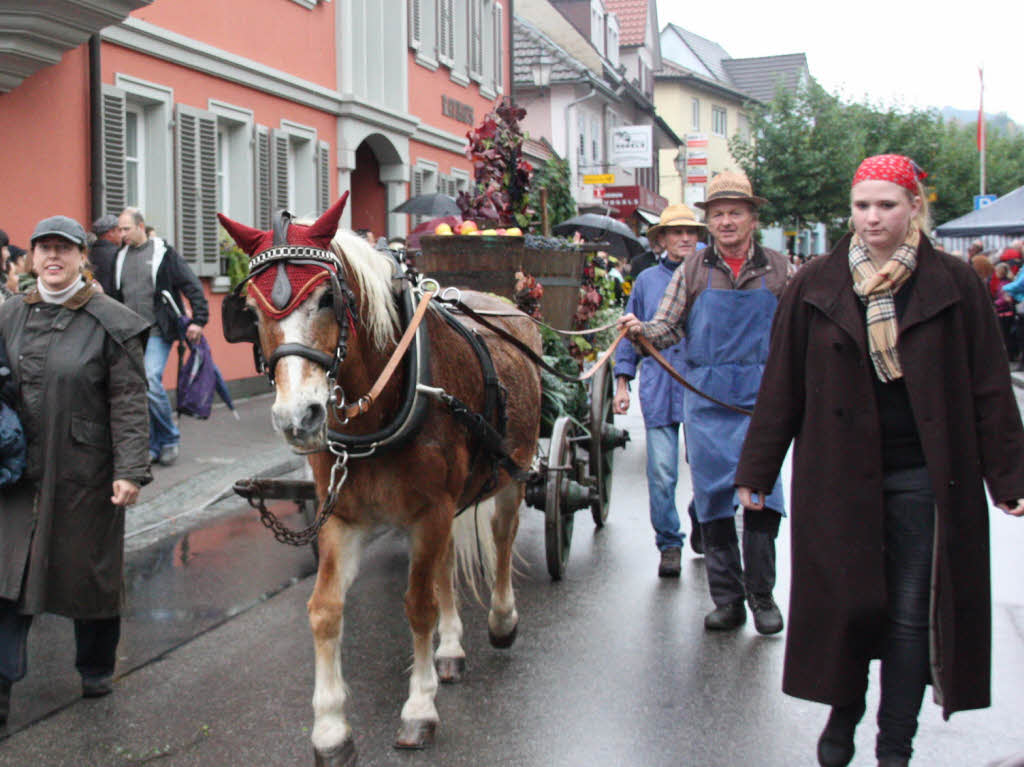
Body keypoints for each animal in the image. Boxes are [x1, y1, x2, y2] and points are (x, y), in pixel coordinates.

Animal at [219, 194, 544, 761]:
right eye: (253, 312)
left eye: (327, 298)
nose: (297, 418)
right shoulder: (343, 517)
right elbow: (325, 609)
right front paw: (330, 729)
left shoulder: (432, 510)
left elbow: (418, 606)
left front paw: (418, 709)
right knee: (446, 566)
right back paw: (451, 648)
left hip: (511, 473)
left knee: (502, 539)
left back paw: (502, 620)